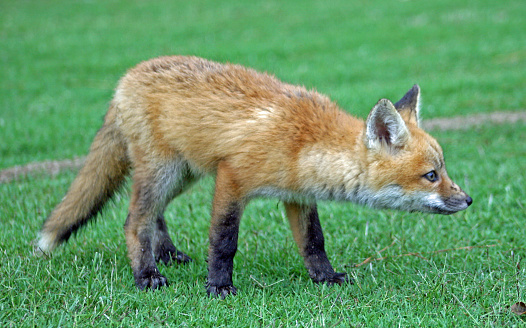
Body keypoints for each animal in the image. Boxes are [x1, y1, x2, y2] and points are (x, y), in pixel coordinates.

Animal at [38, 55, 474, 298]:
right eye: (431, 175)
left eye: (443, 170)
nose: (467, 199)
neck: (303, 142)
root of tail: (125, 78)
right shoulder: (232, 178)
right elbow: (223, 241)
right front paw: (218, 287)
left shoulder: (298, 195)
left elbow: (313, 243)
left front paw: (325, 278)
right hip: (163, 171)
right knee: (134, 219)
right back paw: (146, 274)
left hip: (183, 174)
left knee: (154, 215)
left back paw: (167, 254)